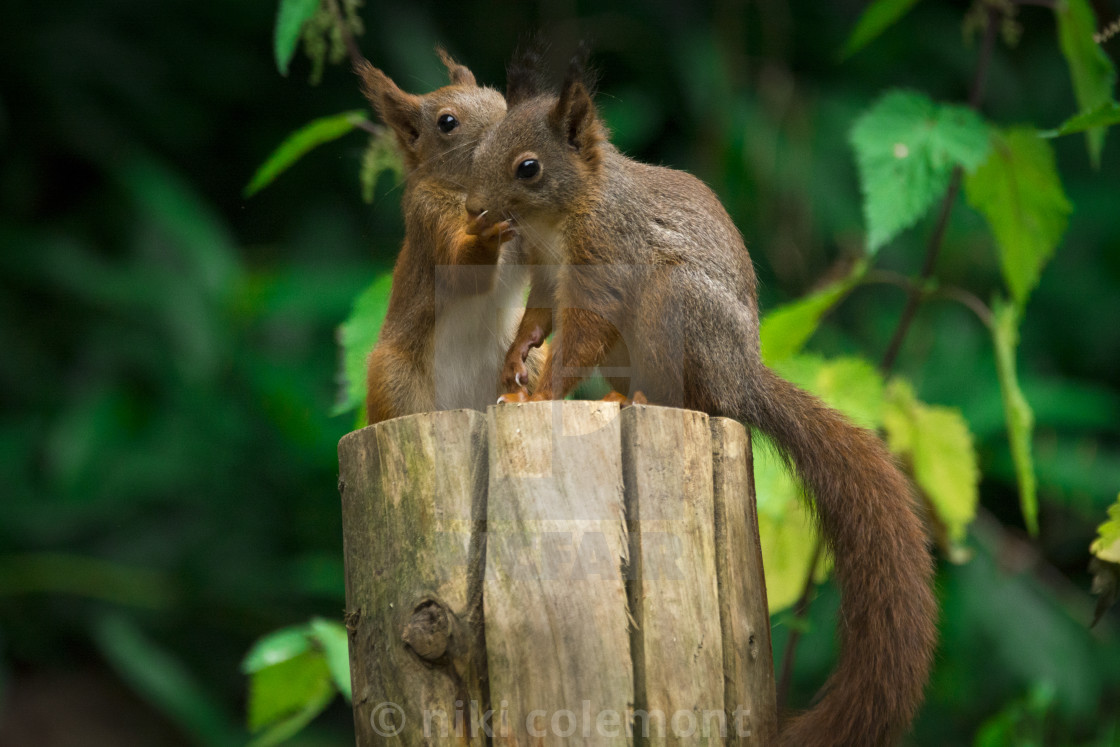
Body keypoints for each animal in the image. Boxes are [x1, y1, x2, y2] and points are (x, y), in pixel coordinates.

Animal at [356, 51, 535, 425]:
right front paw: (485, 236)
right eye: (447, 122)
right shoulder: (428, 216)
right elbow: (462, 271)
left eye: (500, 99)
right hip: (393, 378)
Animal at [461, 54, 936, 747]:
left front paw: (542, 393)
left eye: (529, 167)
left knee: (687, 395)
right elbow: (537, 320)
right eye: (481, 149)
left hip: (674, 304)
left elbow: (581, 333)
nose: (473, 210)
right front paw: (513, 366)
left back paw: (632, 402)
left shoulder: (607, 263)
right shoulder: (547, 276)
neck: (566, 215)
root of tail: (743, 378)